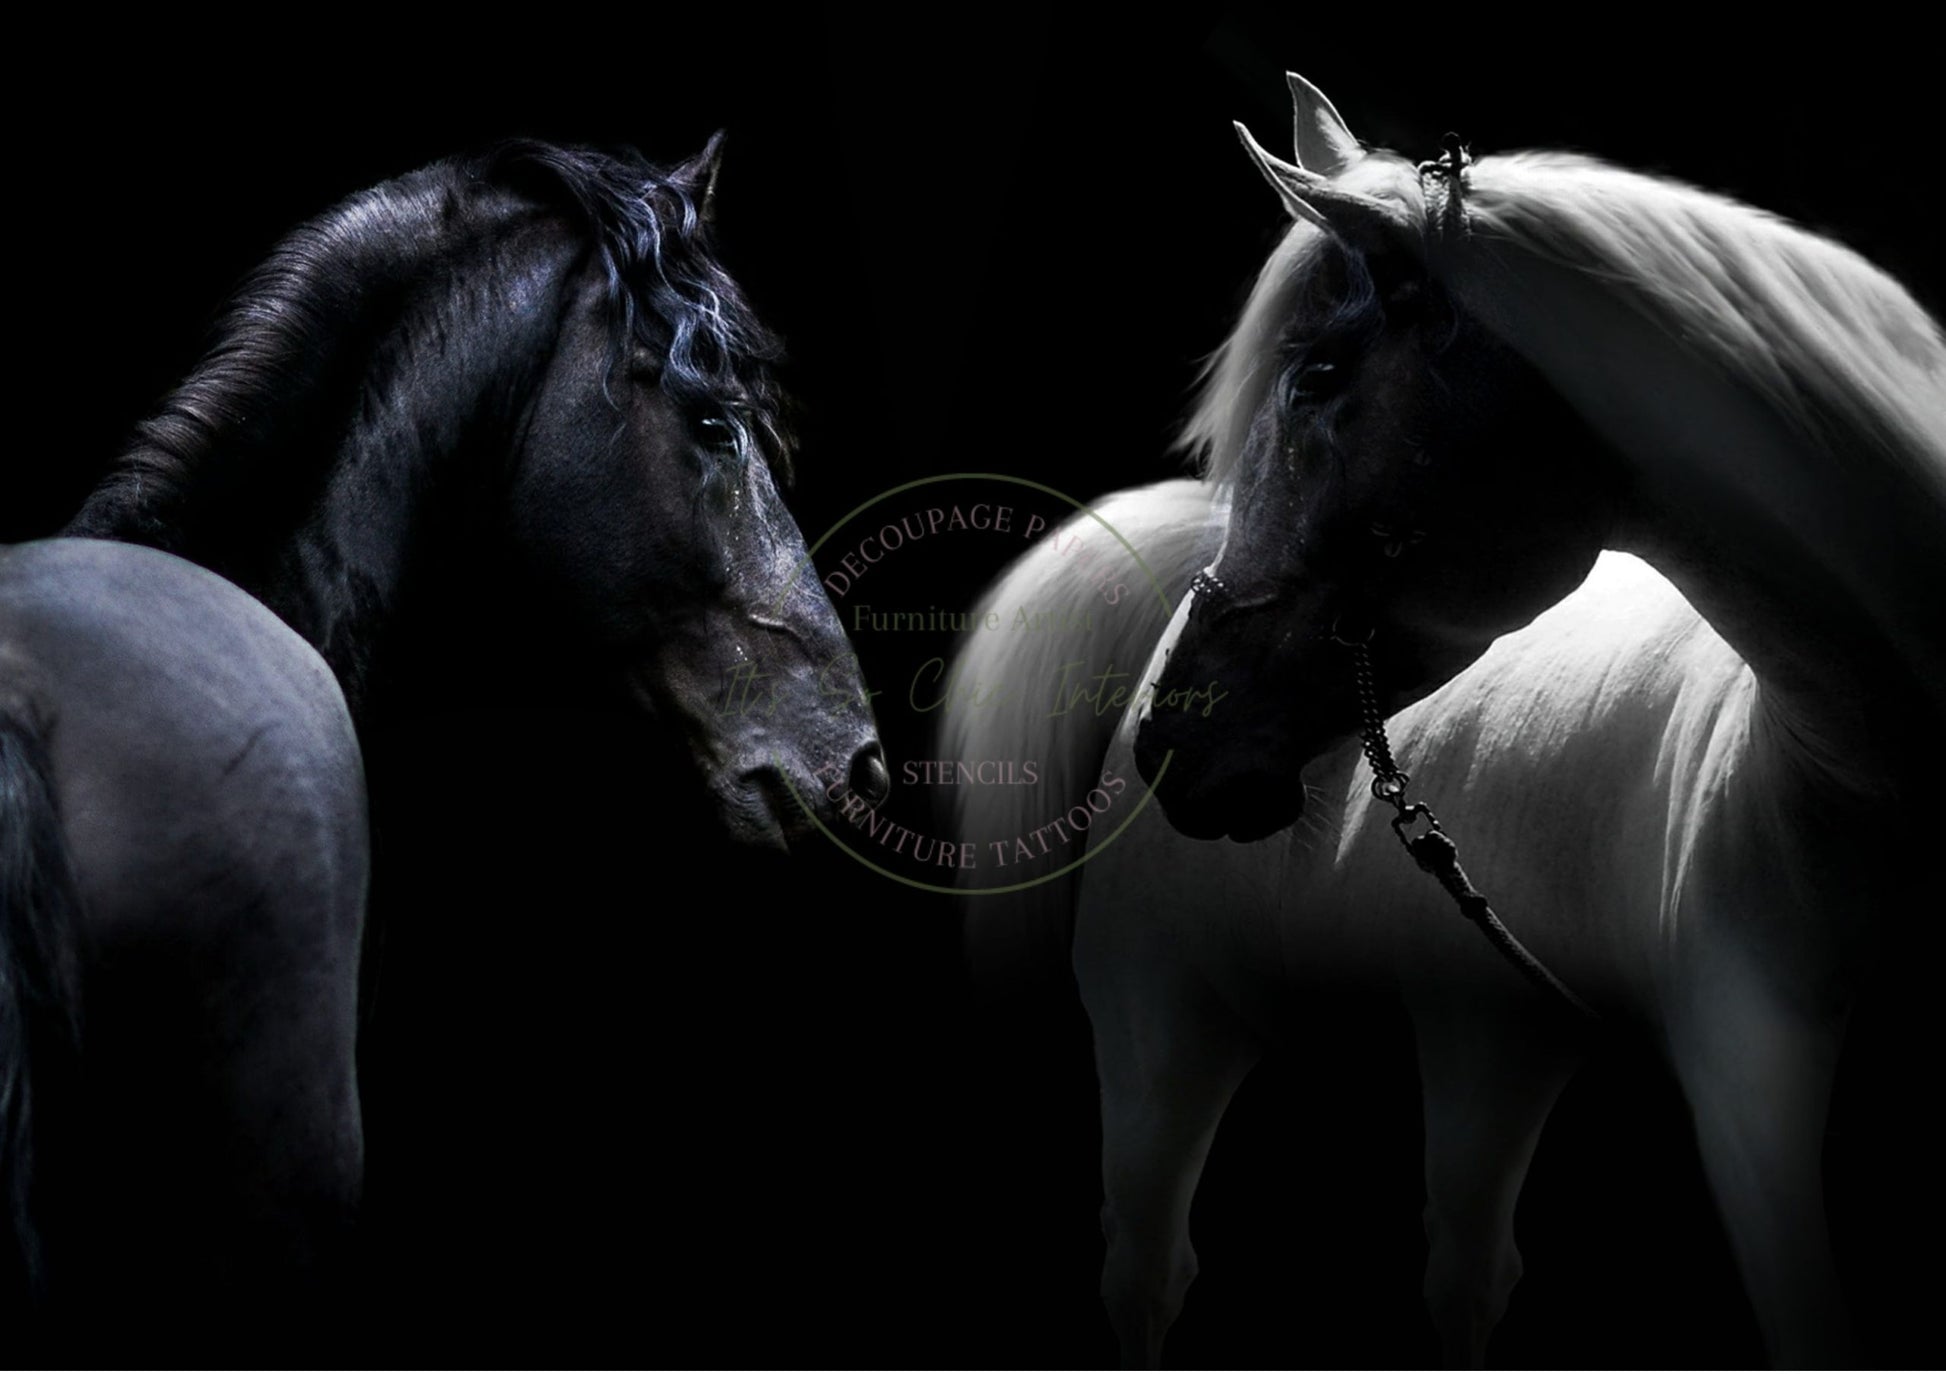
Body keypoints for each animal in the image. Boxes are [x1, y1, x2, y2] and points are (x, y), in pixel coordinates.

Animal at [951, 73, 1942, 1367]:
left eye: (1317, 376)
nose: (1176, 741)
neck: (1849, 770)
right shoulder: (1755, 1114)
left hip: (1489, 1042)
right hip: (1162, 1027)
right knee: (1146, 1271)